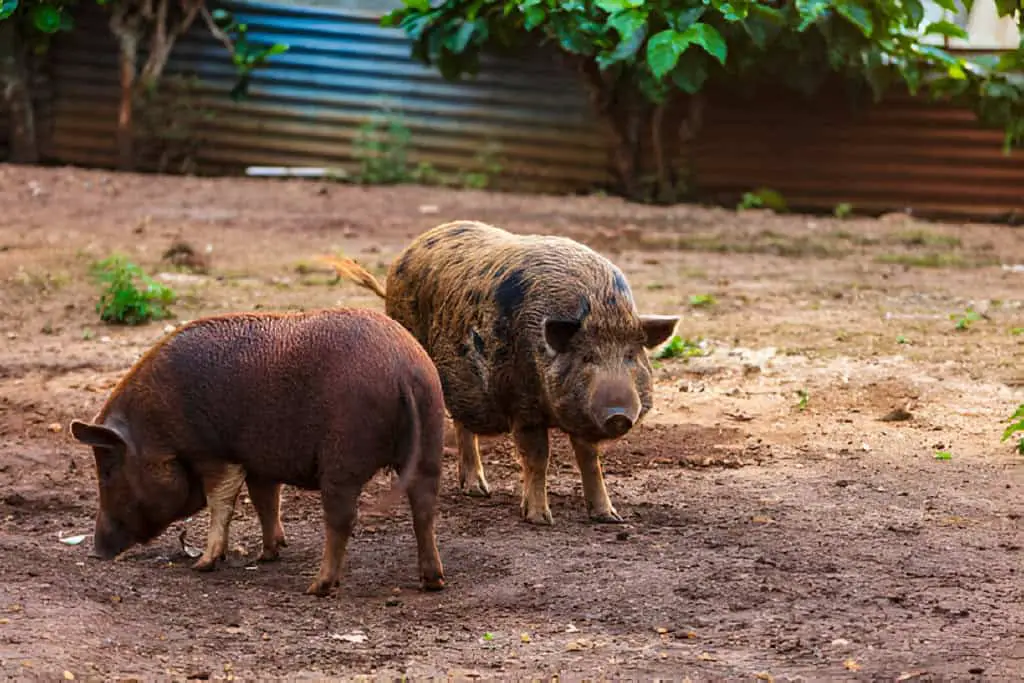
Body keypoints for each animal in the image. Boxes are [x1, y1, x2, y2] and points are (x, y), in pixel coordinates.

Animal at [67, 307, 444, 593]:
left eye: (107, 469)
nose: (97, 551)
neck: (156, 428)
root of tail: (402, 368)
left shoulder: (215, 454)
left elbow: (221, 501)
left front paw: (203, 565)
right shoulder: (261, 464)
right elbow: (266, 501)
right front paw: (267, 555)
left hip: (344, 459)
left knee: (342, 519)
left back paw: (316, 587)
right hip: (430, 442)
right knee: (424, 509)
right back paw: (432, 581)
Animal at [319, 222, 679, 528]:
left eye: (631, 356)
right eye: (587, 357)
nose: (618, 414)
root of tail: (402, 259)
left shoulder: (580, 416)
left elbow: (590, 460)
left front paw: (610, 517)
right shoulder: (521, 401)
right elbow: (537, 456)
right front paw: (539, 520)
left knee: (462, 425)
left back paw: (478, 490)